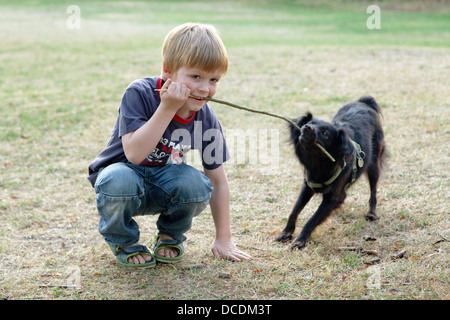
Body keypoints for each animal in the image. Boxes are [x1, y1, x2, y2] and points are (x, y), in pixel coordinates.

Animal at [274, 95, 386, 250]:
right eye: (309, 123)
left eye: (325, 133)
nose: (306, 127)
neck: (319, 163)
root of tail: (364, 102)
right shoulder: (308, 186)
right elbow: (295, 210)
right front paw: (286, 233)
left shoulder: (333, 196)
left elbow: (313, 218)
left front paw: (300, 240)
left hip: (374, 164)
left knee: (373, 191)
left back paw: (371, 214)